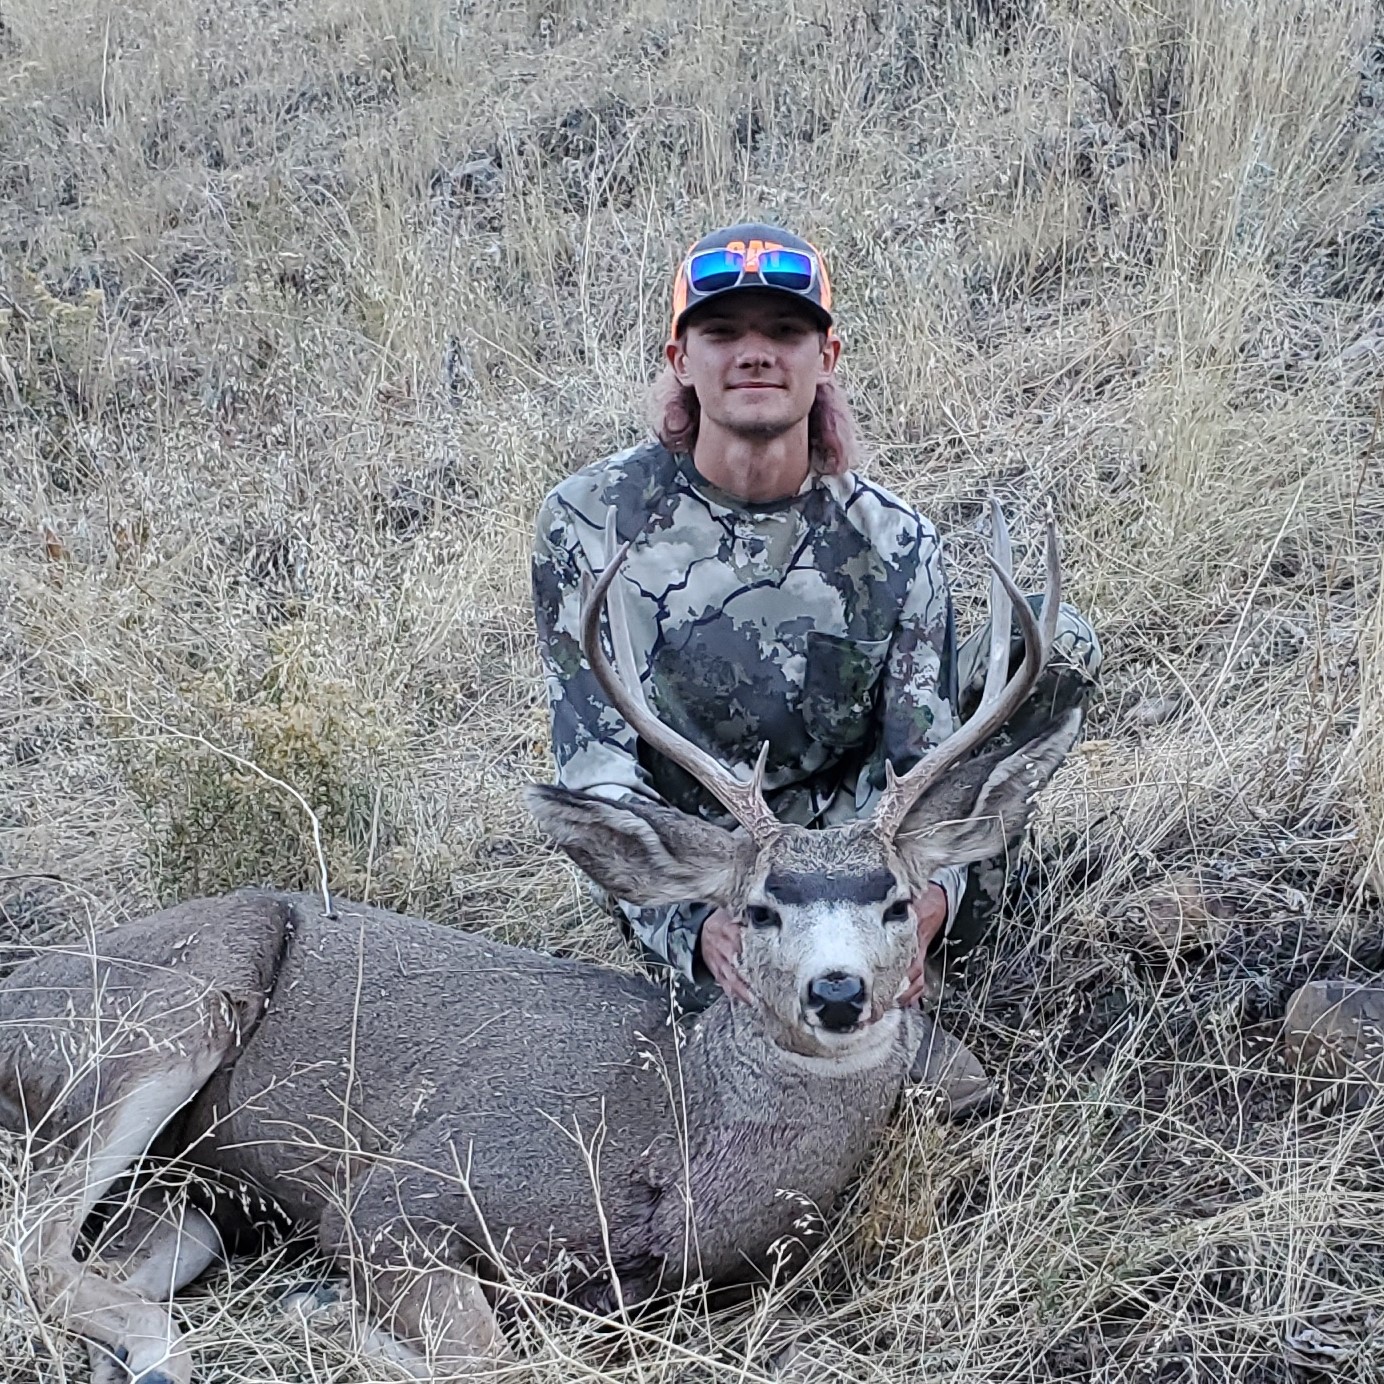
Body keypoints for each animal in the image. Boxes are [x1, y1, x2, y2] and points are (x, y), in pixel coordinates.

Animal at [0, 503, 1081, 1384]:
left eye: (898, 903)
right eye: (758, 908)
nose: (839, 992)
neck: (671, 1128)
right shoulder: (408, 1189)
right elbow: (489, 1354)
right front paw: (323, 1313)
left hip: (193, 1191)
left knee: (103, 1255)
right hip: (166, 1012)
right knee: (34, 1242)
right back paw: (166, 1351)